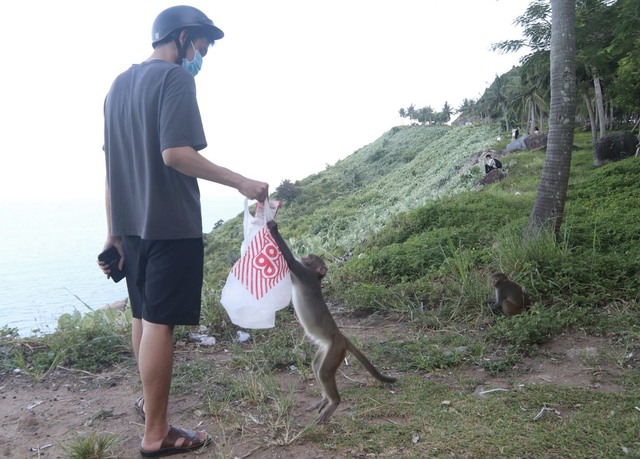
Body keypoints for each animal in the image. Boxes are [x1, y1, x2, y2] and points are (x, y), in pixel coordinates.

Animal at [264, 221, 396, 426]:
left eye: (311, 258)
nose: (307, 254)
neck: (316, 277)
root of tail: (341, 337)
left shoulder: (304, 273)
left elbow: (291, 262)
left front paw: (273, 228)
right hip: (327, 348)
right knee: (316, 366)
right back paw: (325, 399)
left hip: (335, 349)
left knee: (324, 373)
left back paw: (334, 402)